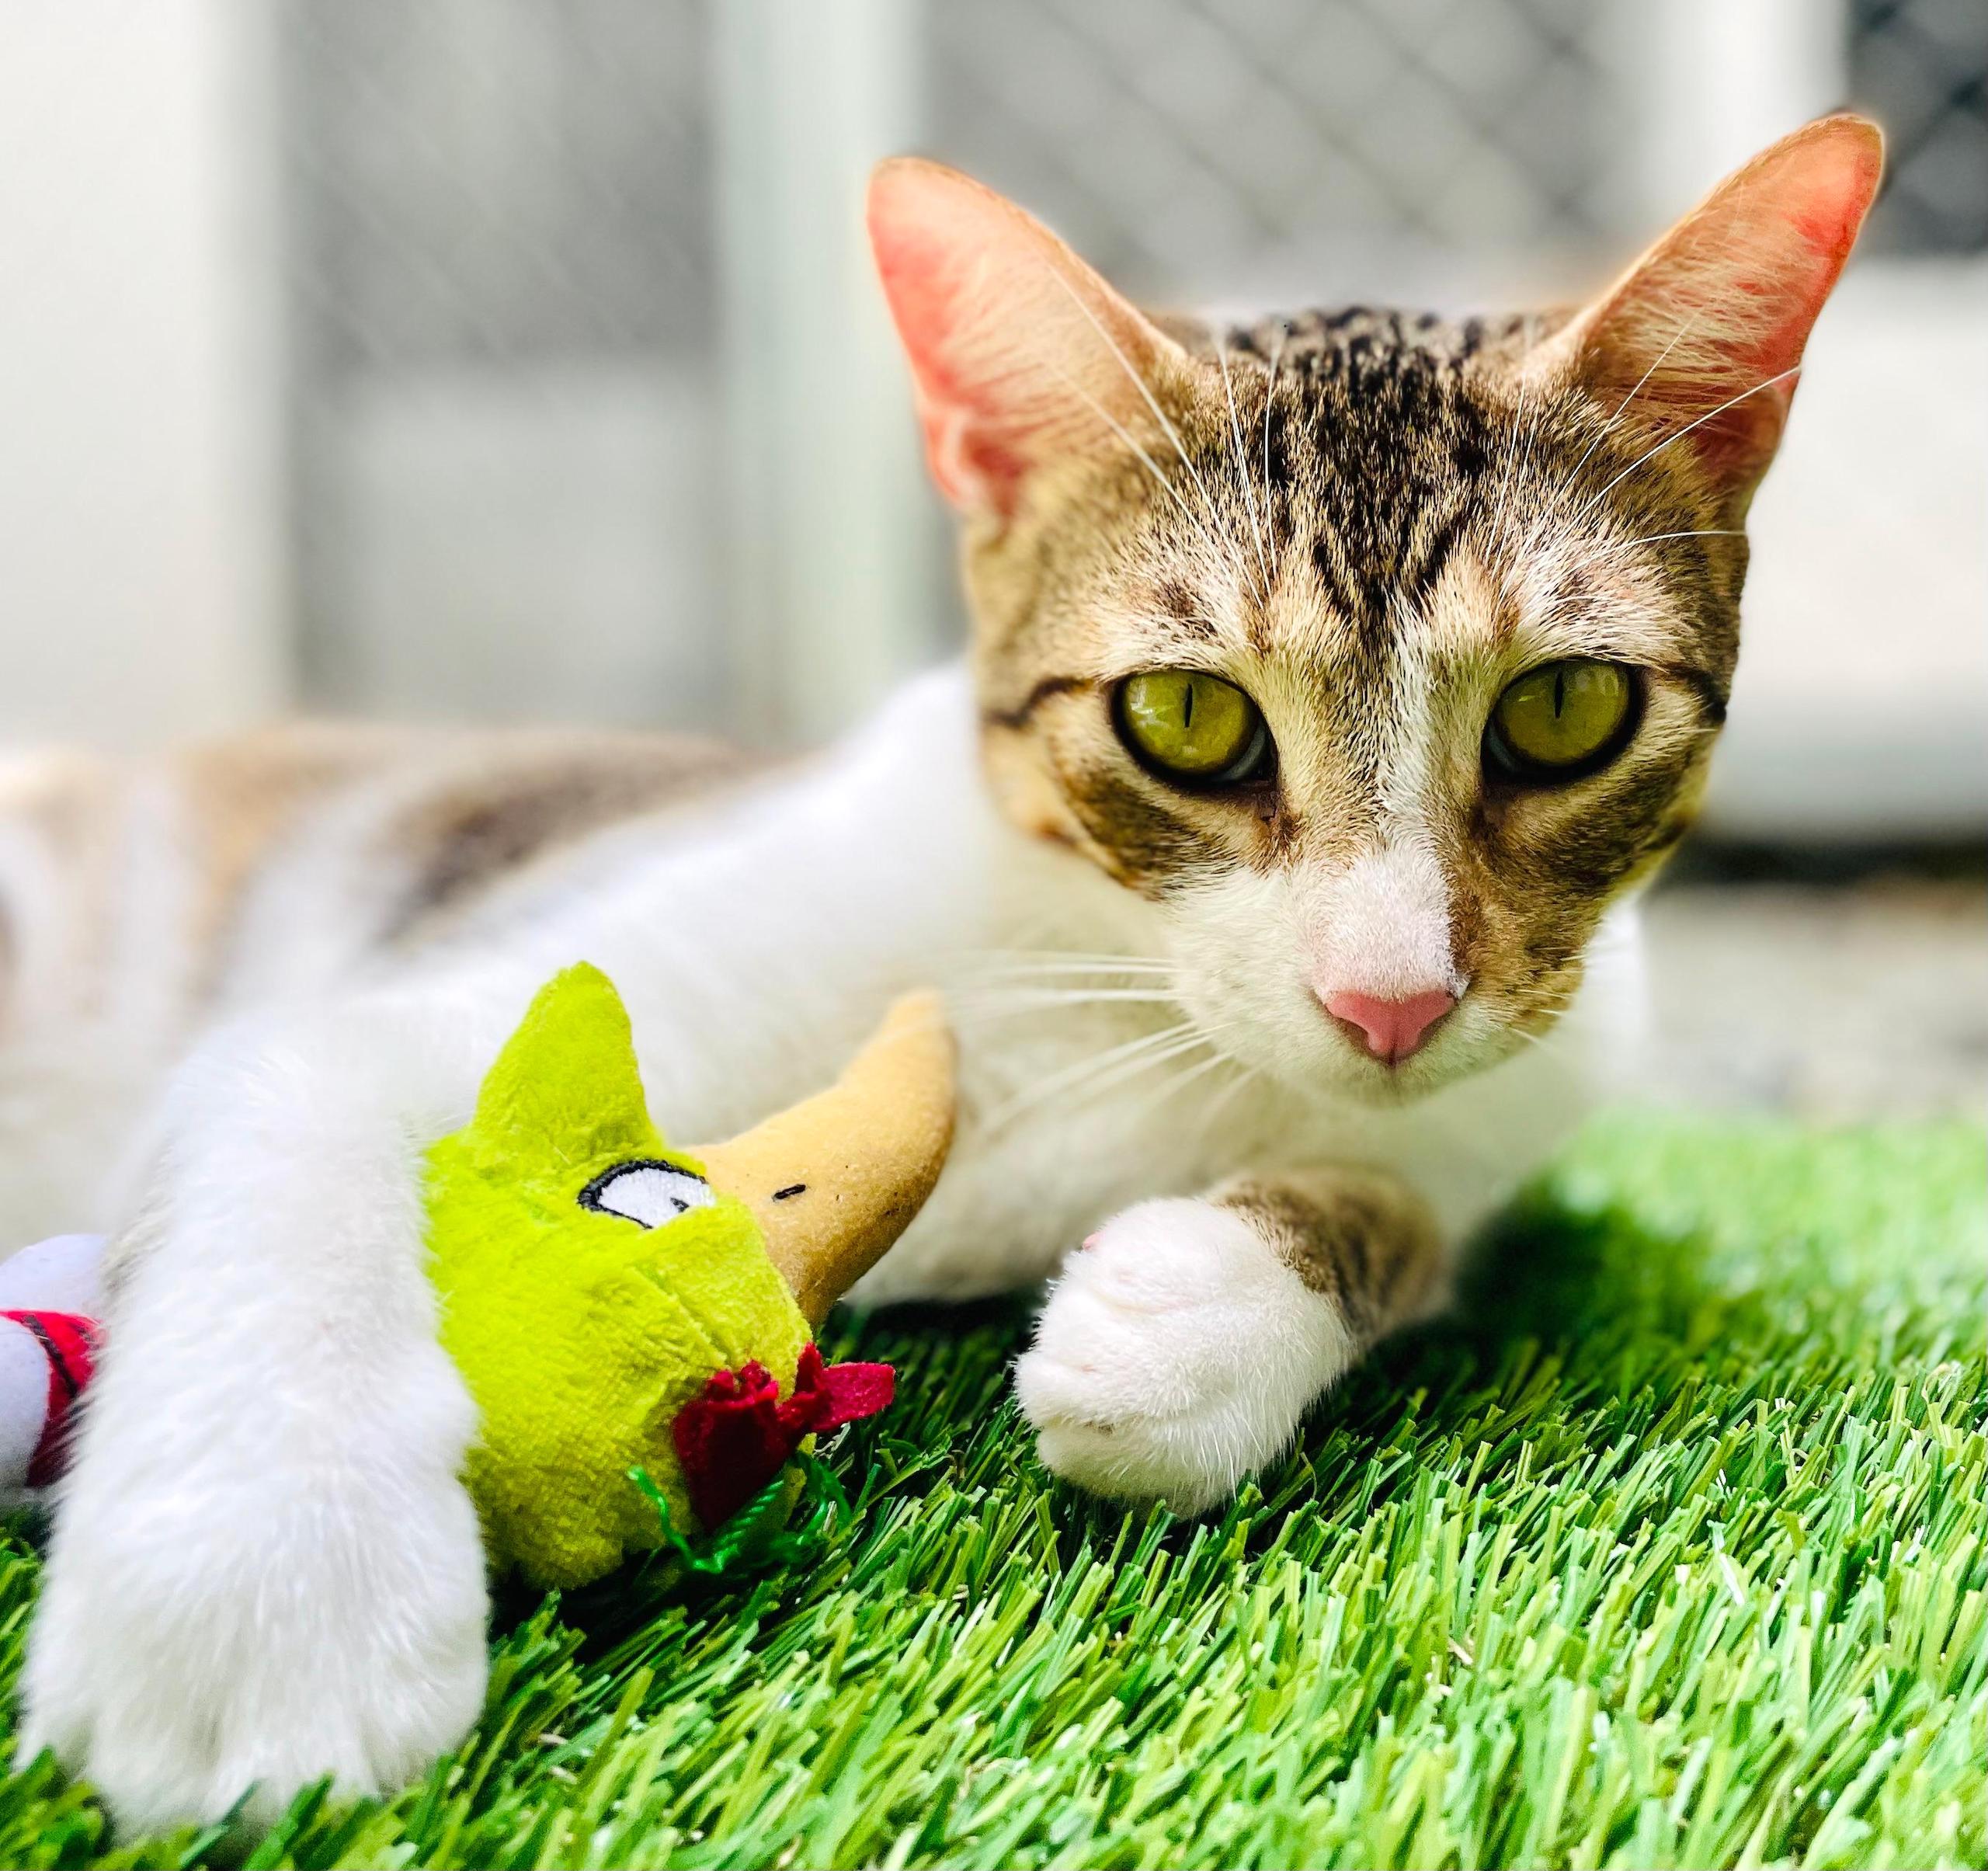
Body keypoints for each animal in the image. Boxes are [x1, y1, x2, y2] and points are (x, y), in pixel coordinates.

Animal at [4, 113, 1876, 1821]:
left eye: (1565, 708)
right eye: (1185, 716)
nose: (1390, 997)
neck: (1107, 992)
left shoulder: (1520, 1083)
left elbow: (1402, 1212)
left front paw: (1201, 1305)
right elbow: (304, 1106)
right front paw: (260, 1585)